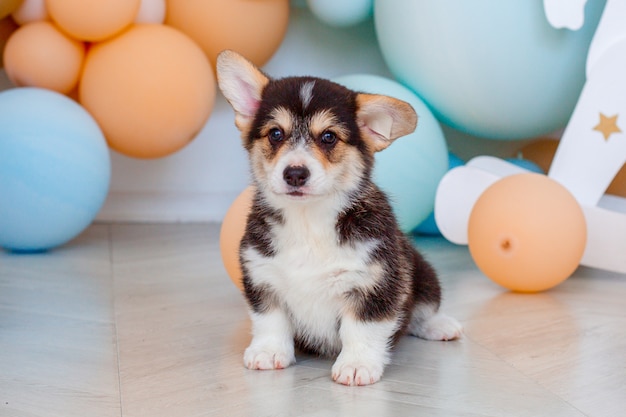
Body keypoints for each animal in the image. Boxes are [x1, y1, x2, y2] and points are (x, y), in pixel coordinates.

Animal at [217, 50, 460, 386]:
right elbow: (269, 320)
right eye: (276, 134)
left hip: (423, 273)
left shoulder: (375, 281)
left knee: (423, 311)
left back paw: (440, 326)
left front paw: (357, 364)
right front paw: (268, 351)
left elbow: (361, 329)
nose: (295, 173)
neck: (308, 222)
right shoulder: (262, 276)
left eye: (329, 137)